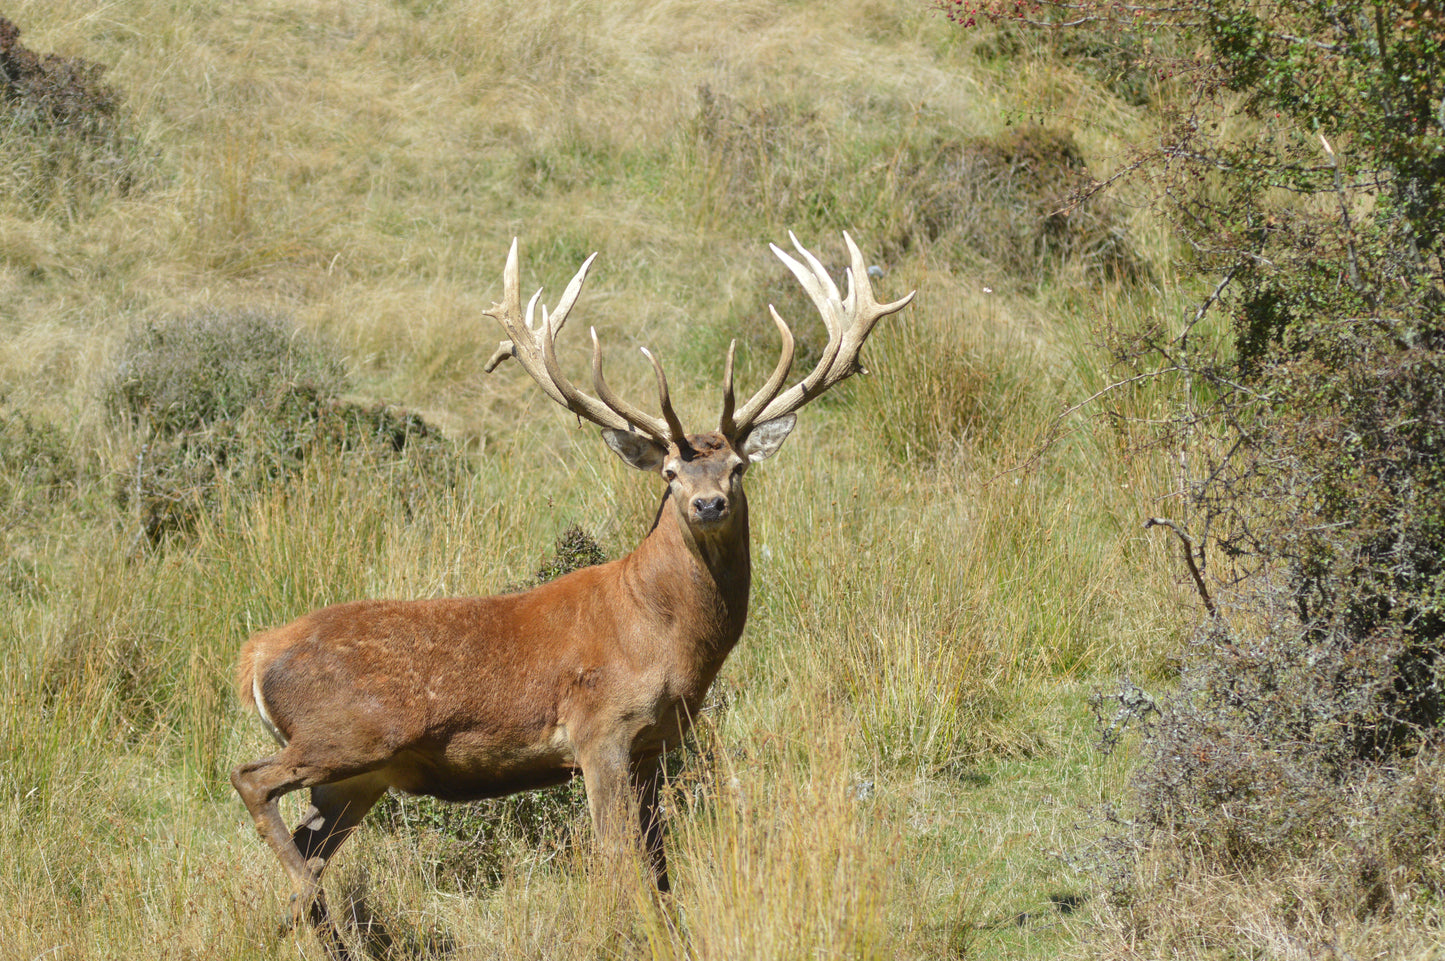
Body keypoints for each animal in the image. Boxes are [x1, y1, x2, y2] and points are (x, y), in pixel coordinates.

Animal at [230, 232, 915, 943]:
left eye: (737, 465)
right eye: (670, 472)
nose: (708, 504)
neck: (666, 637)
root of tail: (255, 656)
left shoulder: (654, 744)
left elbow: (661, 861)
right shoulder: (599, 730)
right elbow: (620, 858)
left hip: (358, 779)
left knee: (305, 847)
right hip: (351, 733)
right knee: (251, 781)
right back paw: (320, 911)